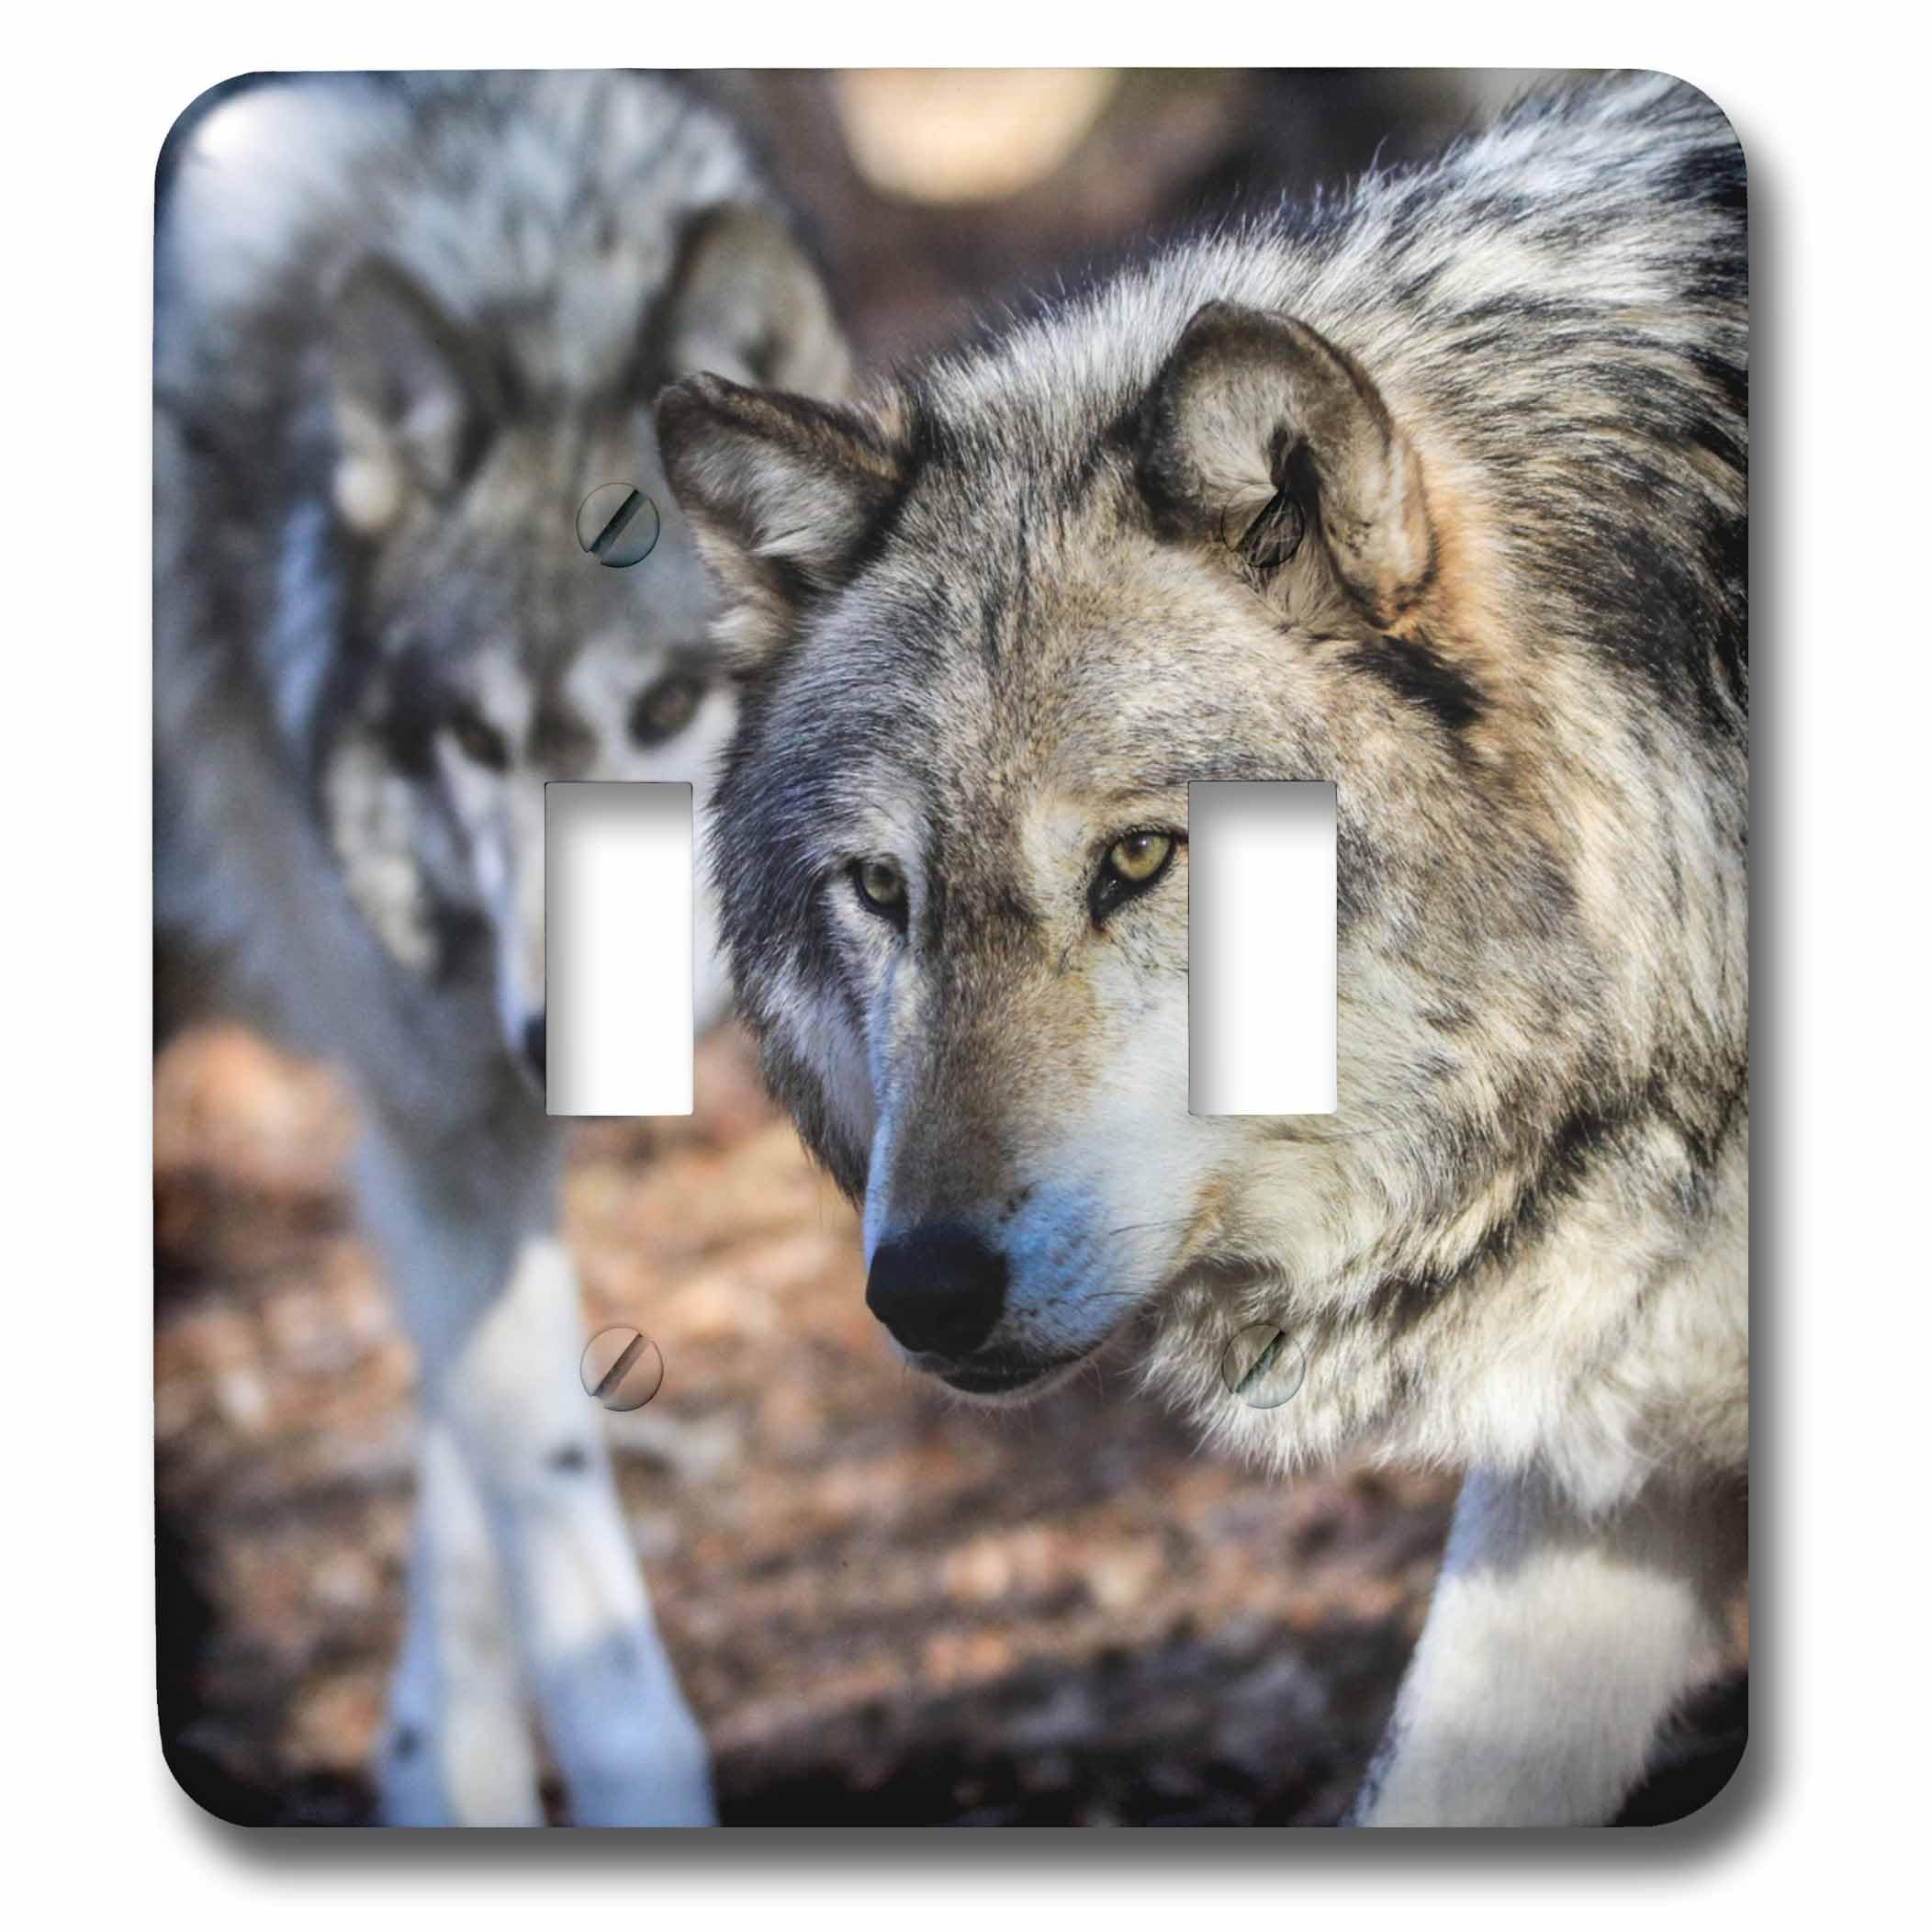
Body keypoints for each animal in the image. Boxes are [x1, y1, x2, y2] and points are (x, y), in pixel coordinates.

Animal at [155, 71, 848, 1824]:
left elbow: (470, 1481)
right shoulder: (431, 1109)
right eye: (474, 738)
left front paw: (434, 1768)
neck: (529, 251)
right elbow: (591, 1630)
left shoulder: (461, 1124)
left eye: (663, 710)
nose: (560, 1038)